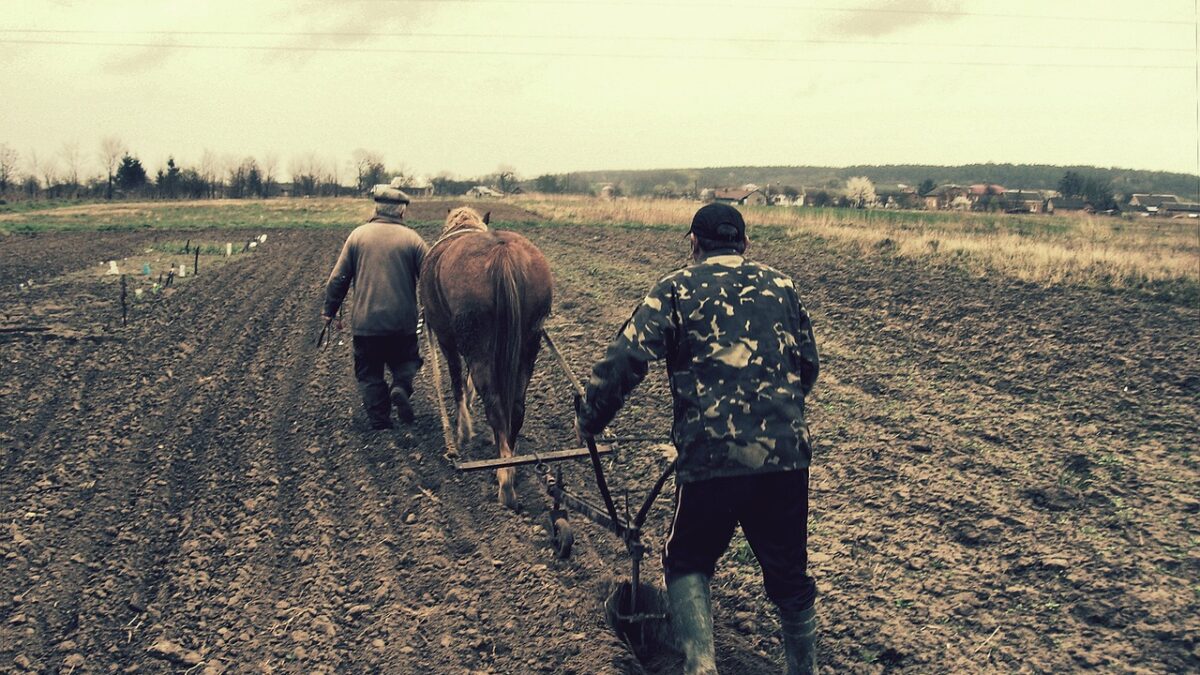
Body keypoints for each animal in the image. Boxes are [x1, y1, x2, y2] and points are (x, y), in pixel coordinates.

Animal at [419, 206, 553, 509]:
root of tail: (503, 254)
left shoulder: (447, 338)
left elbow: (457, 380)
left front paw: (463, 430)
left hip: (475, 340)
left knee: (493, 402)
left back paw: (505, 481)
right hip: (529, 343)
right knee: (515, 406)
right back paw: (510, 462)